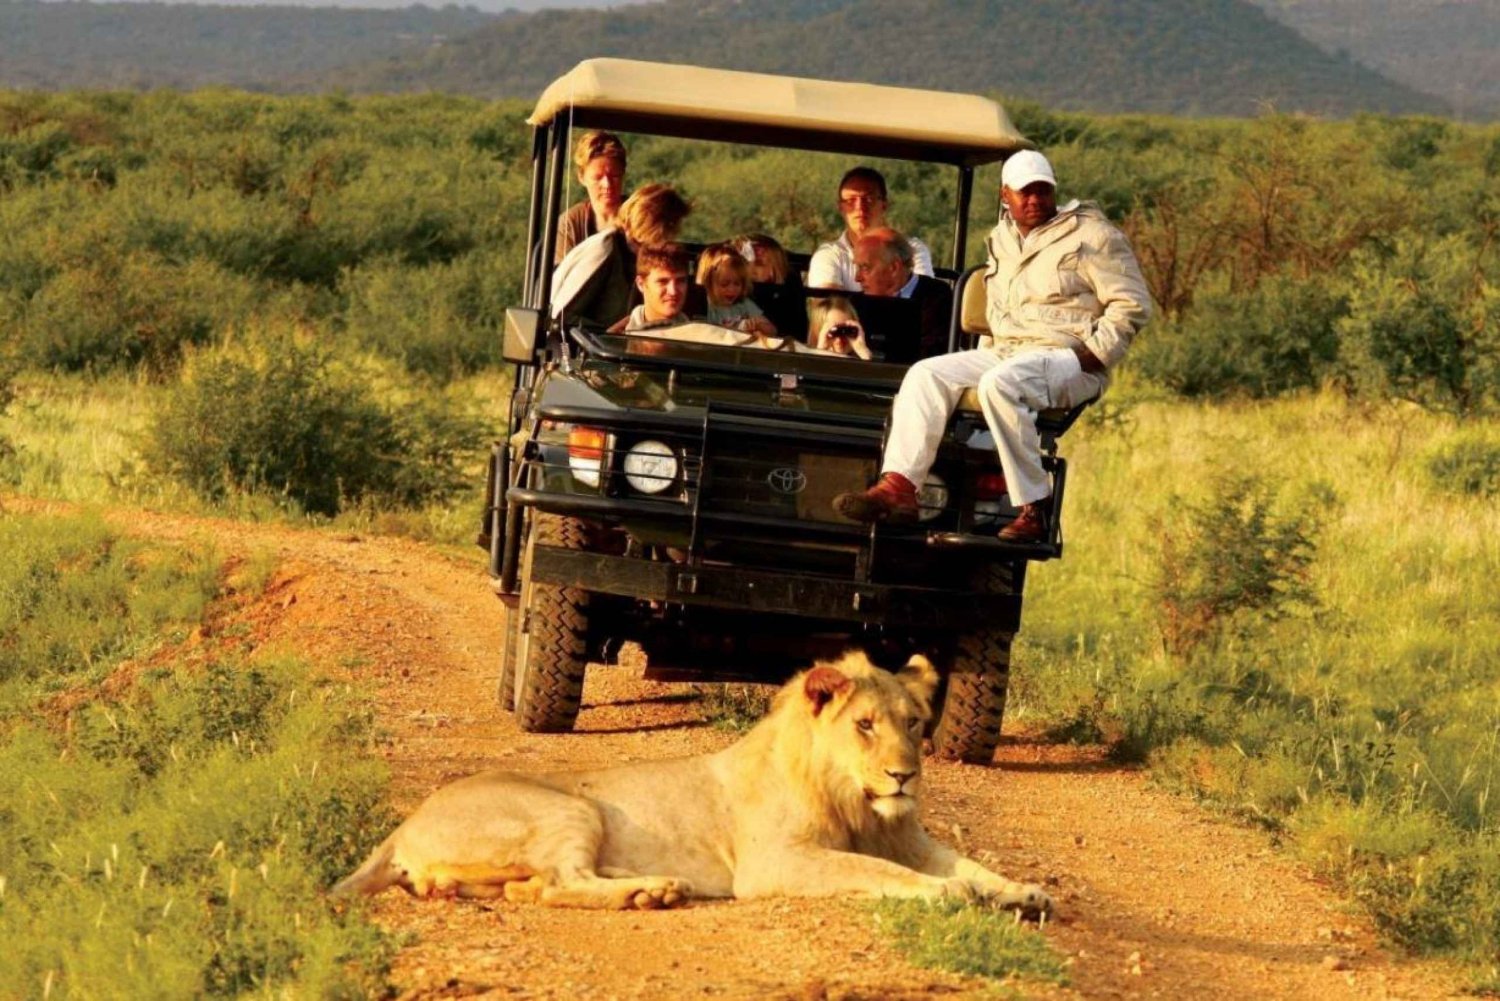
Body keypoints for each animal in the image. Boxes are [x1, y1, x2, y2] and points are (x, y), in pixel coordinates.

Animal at [331, 651, 1056, 918]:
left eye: (913, 723)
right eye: (865, 725)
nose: (906, 774)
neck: (858, 803)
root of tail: (404, 822)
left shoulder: (912, 840)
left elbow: (972, 863)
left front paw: (1023, 891)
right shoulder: (775, 863)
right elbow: (885, 873)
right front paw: (954, 893)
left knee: (533, 887)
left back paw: (654, 886)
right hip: (571, 808)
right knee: (562, 882)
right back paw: (650, 892)